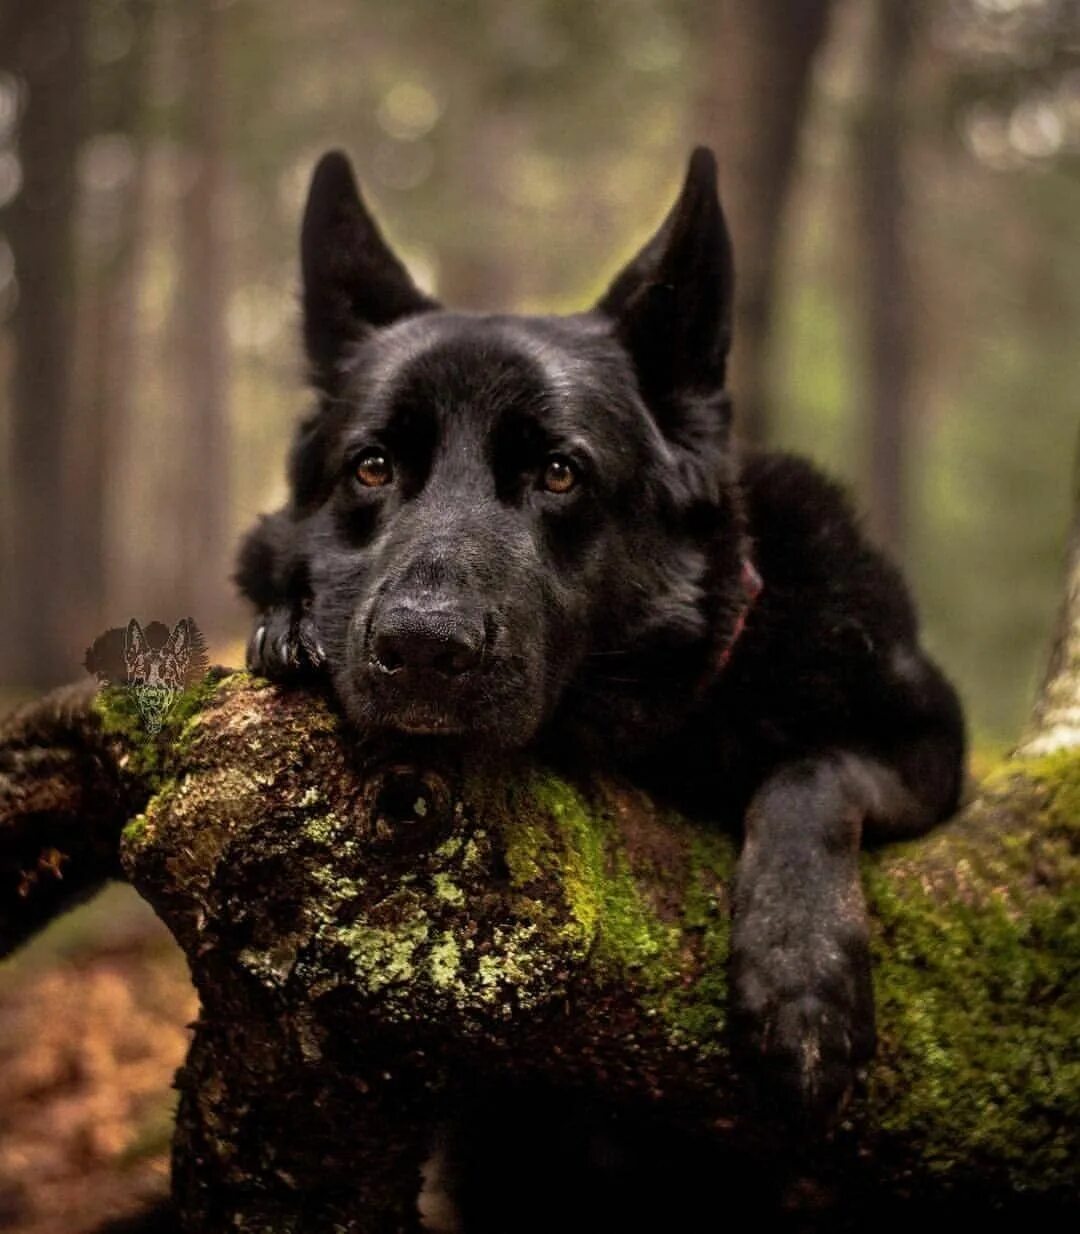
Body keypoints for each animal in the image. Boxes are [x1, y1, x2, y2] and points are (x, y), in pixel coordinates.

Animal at [236, 141, 962, 1130]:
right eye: (372, 467)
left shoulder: (933, 746)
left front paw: (800, 978)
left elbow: (813, 773)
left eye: (559, 473)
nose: (423, 648)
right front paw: (288, 627)